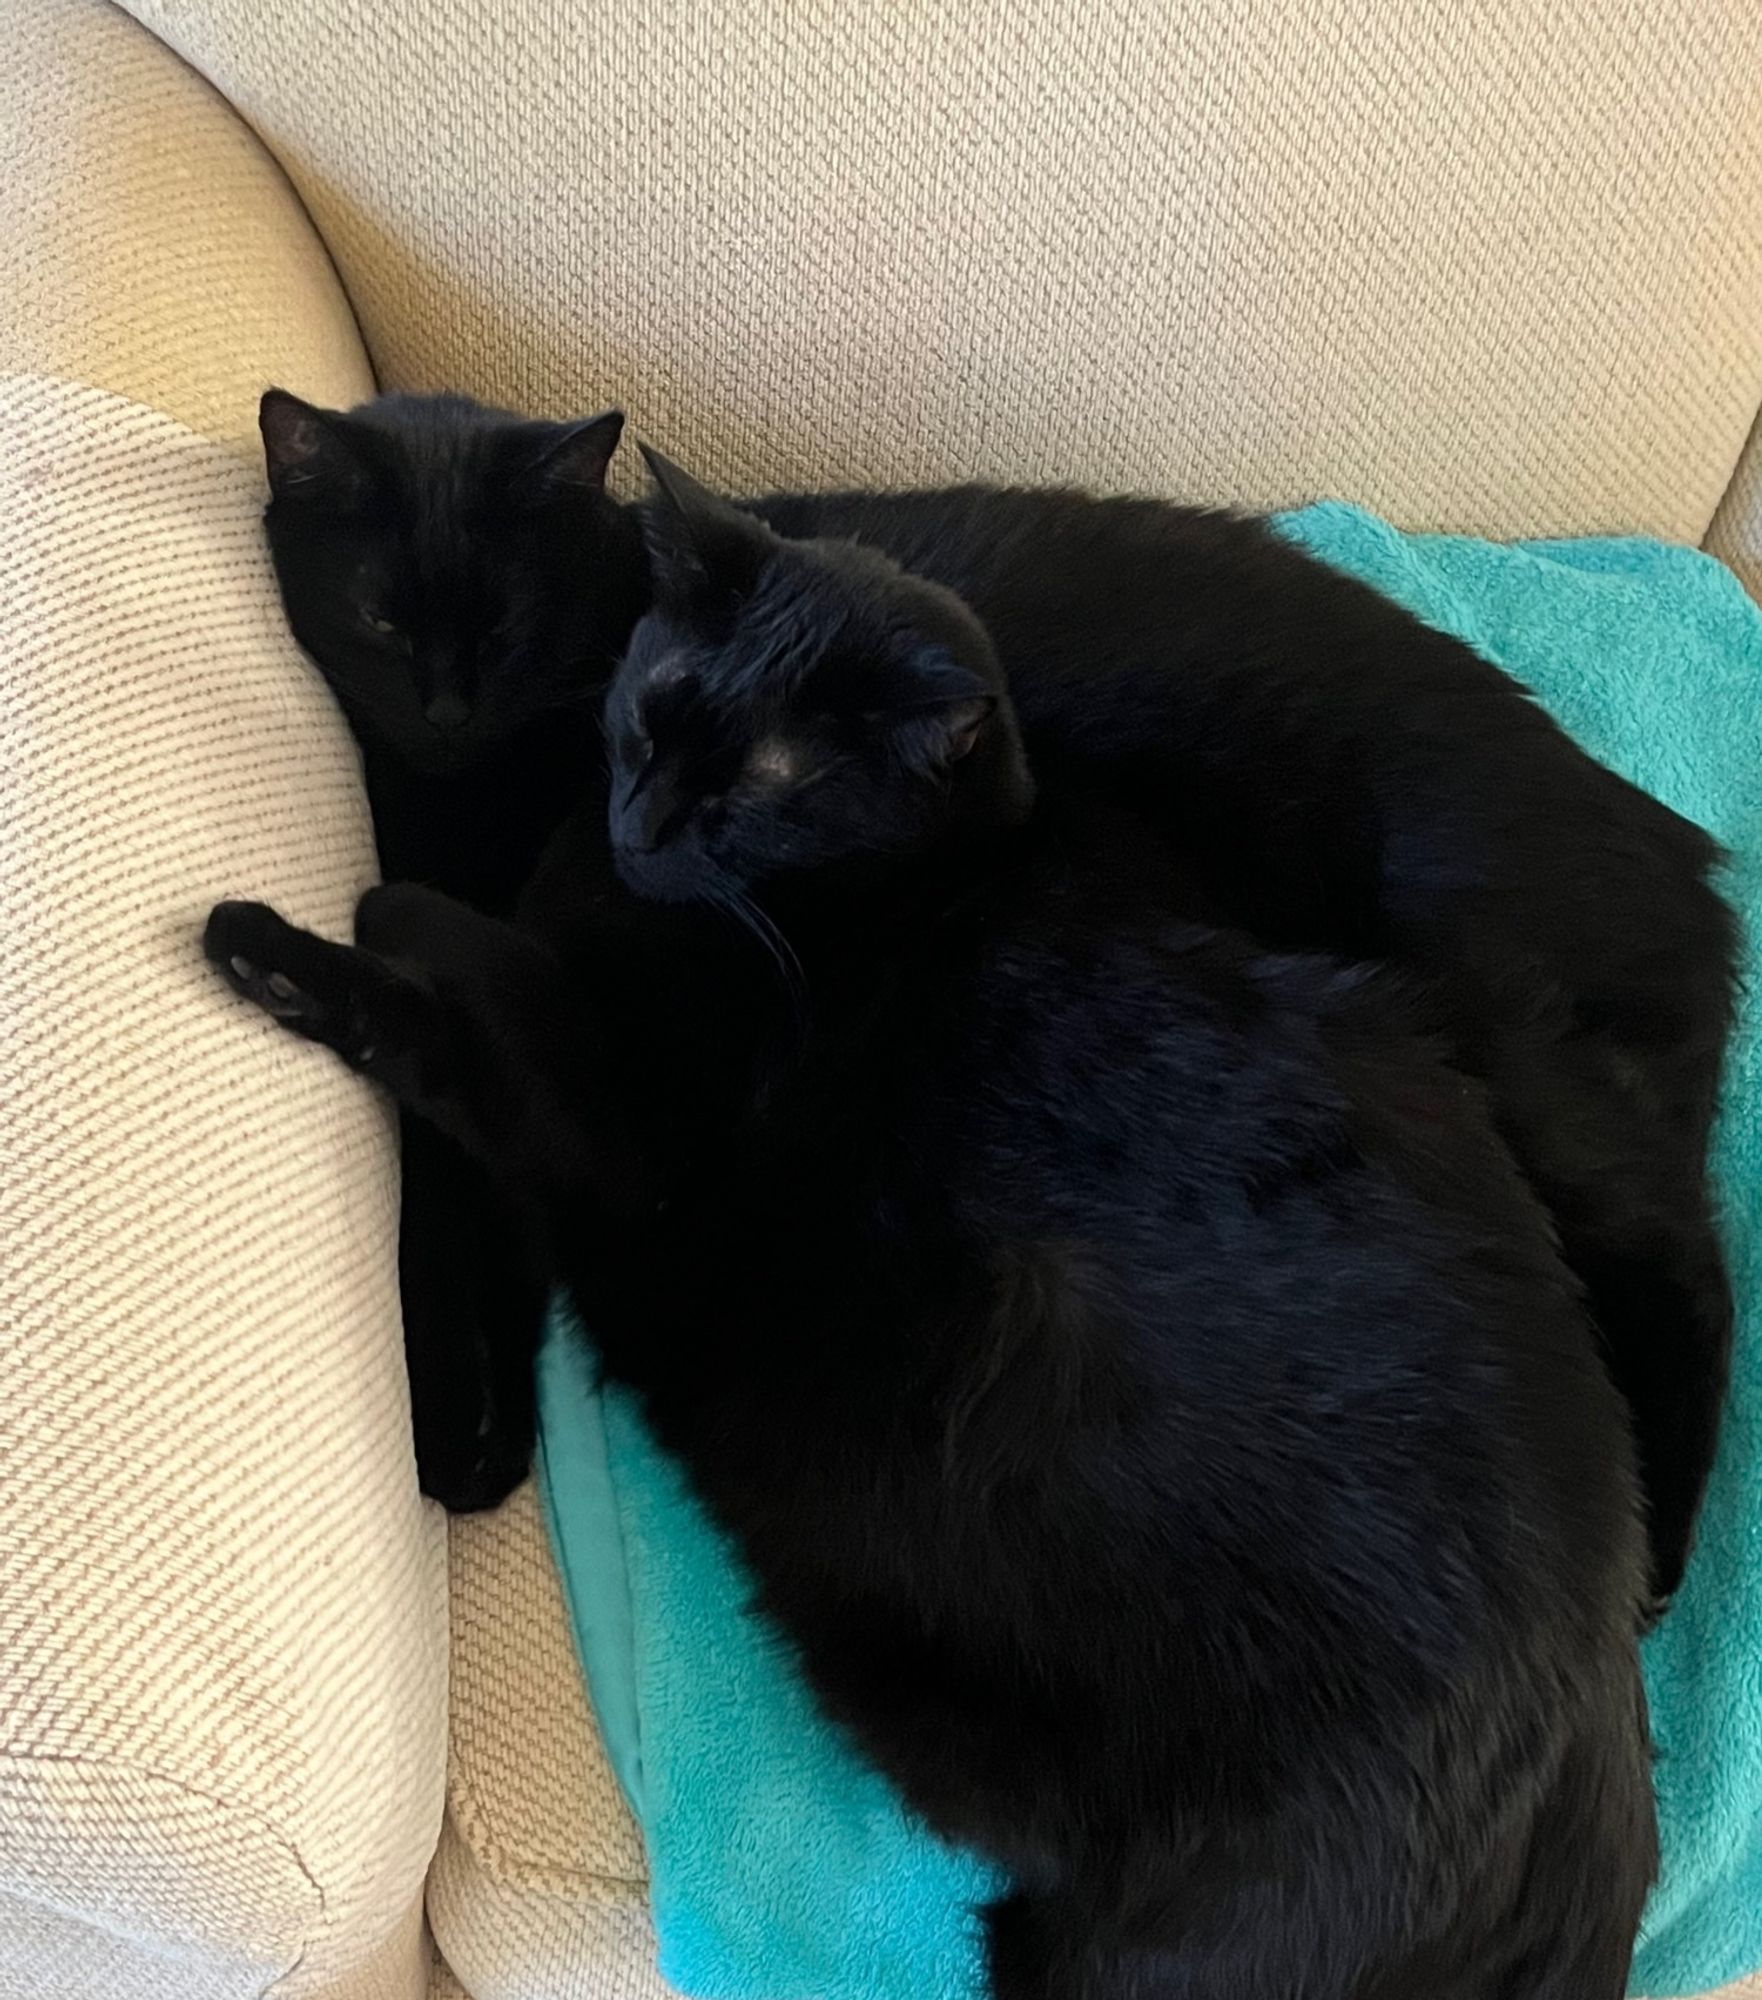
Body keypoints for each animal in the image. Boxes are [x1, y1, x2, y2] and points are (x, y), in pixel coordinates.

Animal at [258, 390, 648, 1504]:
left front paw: (476, 1418)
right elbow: (447, 1165)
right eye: (382, 622)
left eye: (503, 625)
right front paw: (464, 1405)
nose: (444, 713)